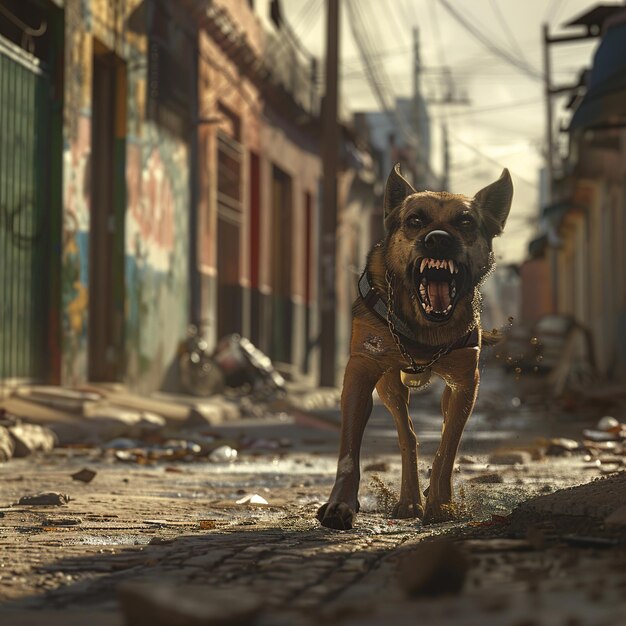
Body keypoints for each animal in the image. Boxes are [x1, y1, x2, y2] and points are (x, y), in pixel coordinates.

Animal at [314, 162, 510, 528]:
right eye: (415, 220)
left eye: (465, 222)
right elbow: (349, 447)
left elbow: (448, 445)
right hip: (390, 385)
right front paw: (341, 503)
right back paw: (408, 501)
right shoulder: (361, 370)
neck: (425, 329)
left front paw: (441, 504)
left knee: (438, 428)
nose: (438, 240)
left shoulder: (466, 381)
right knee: (407, 435)